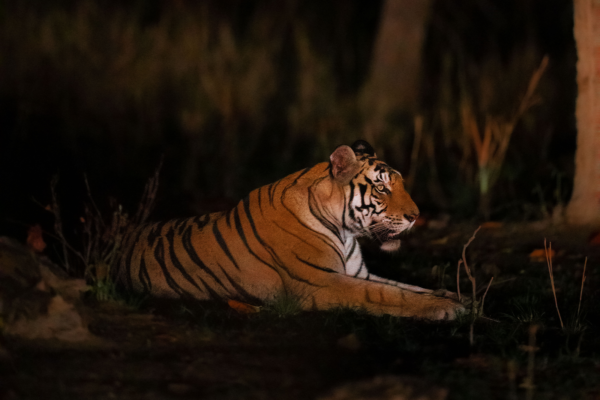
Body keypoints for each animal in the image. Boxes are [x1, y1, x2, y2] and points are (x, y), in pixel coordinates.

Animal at [116, 139, 464, 320]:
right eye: (382, 188)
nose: (416, 216)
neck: (345, 232)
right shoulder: (321, 283)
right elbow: (388, 293)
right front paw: (446, 307)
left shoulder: (358, 273)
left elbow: (404, 285)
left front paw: (451, 295)